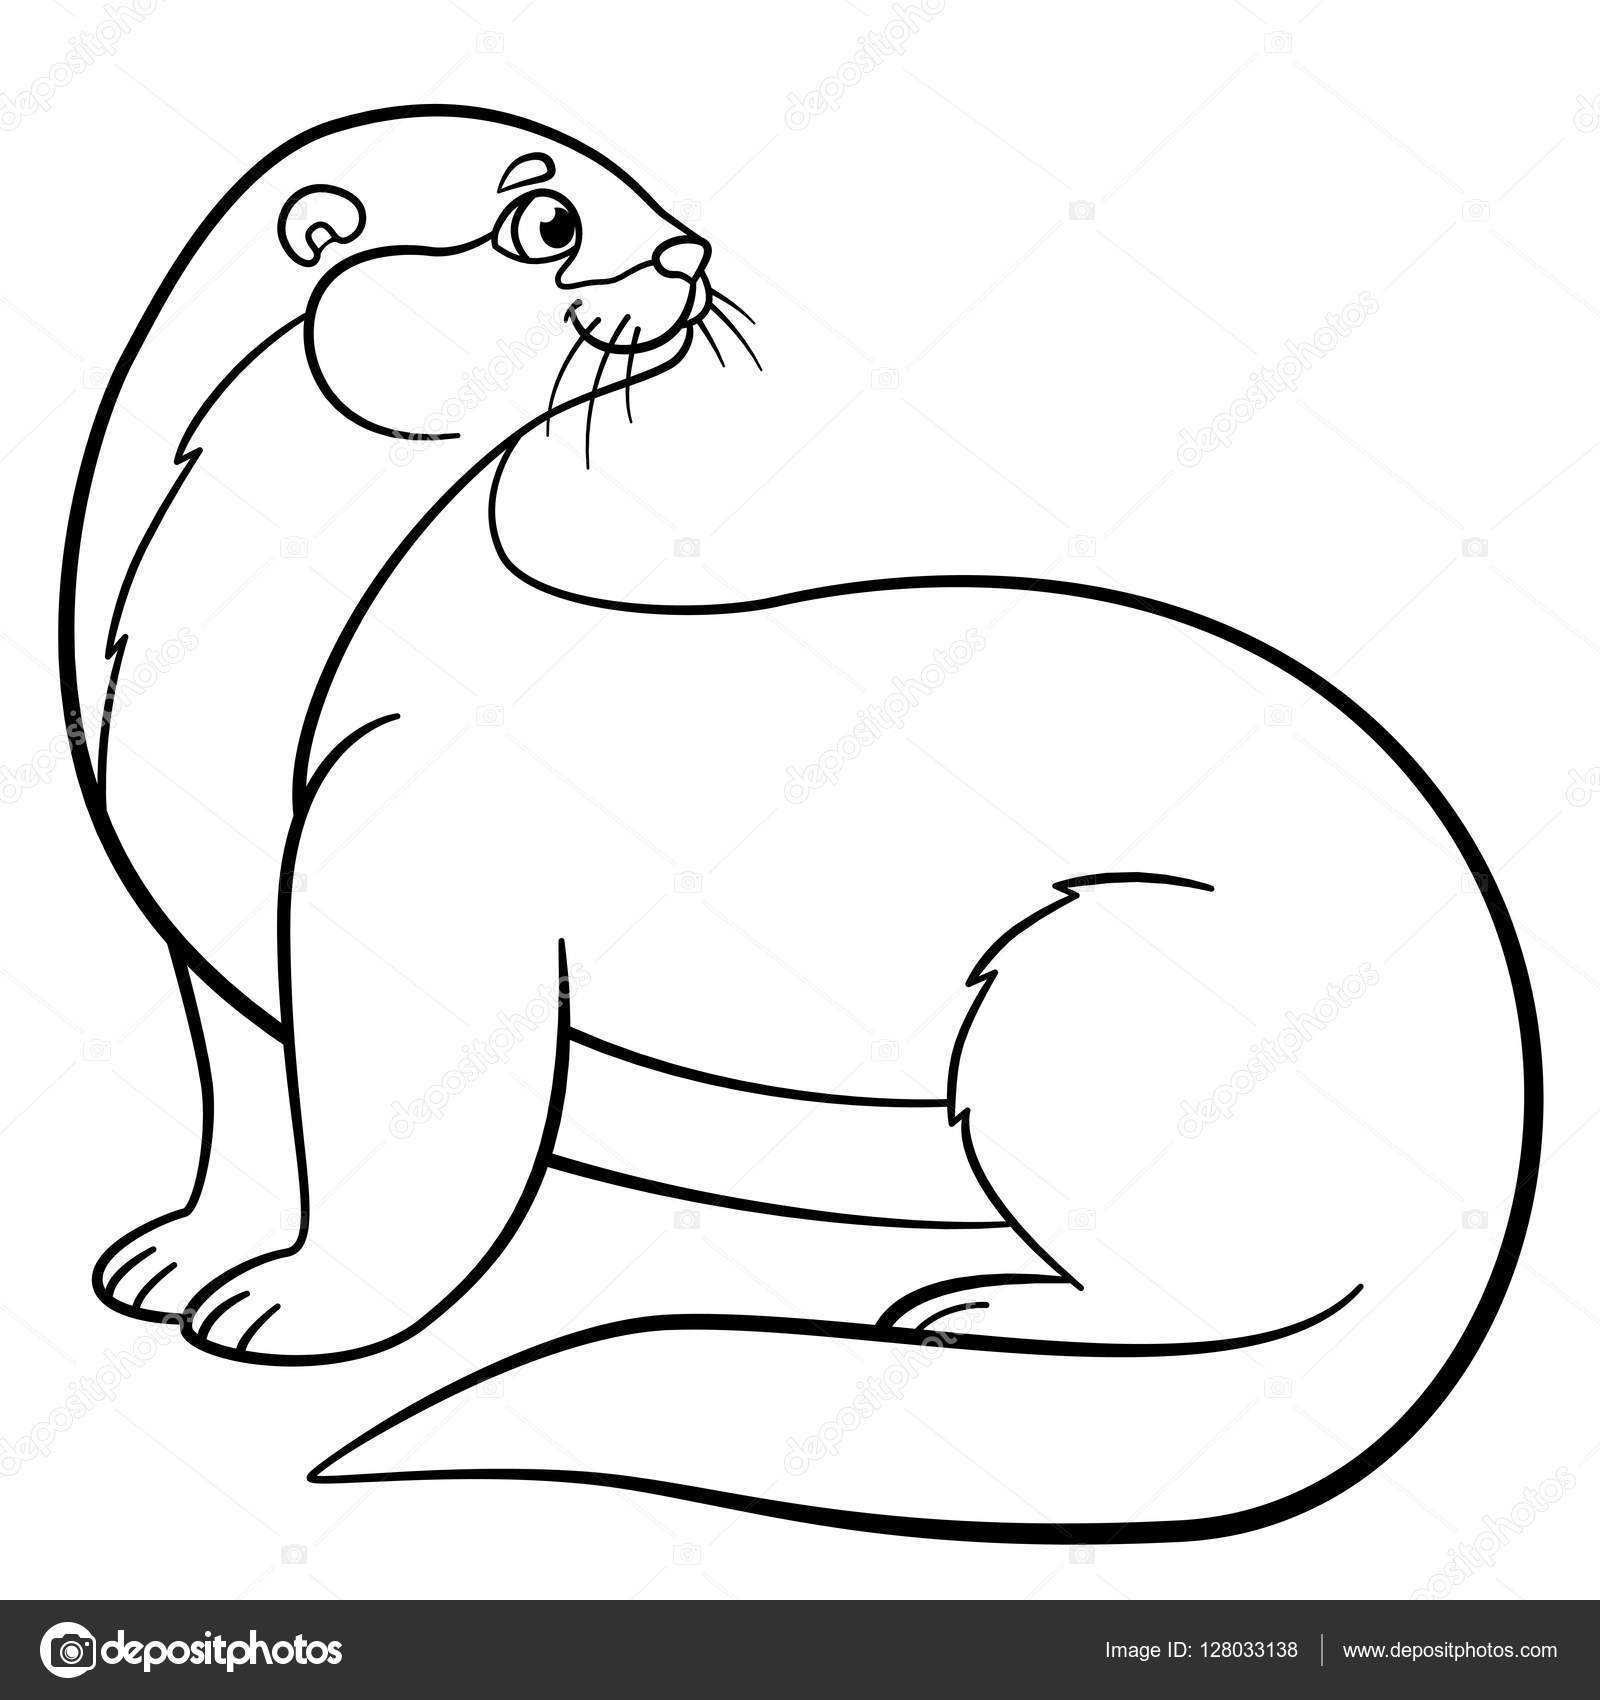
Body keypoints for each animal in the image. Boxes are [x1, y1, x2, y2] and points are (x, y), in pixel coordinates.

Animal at [63, 107, 1537, 1539]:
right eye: (549, 219)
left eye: (637, 195)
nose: (692, 251)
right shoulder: (212, 952)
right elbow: (248, 1115)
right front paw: (181, 1255)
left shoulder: (419, 872)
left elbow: (409, 1151)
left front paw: (301, 1306)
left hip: (1093, 985)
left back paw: (984, 1310)